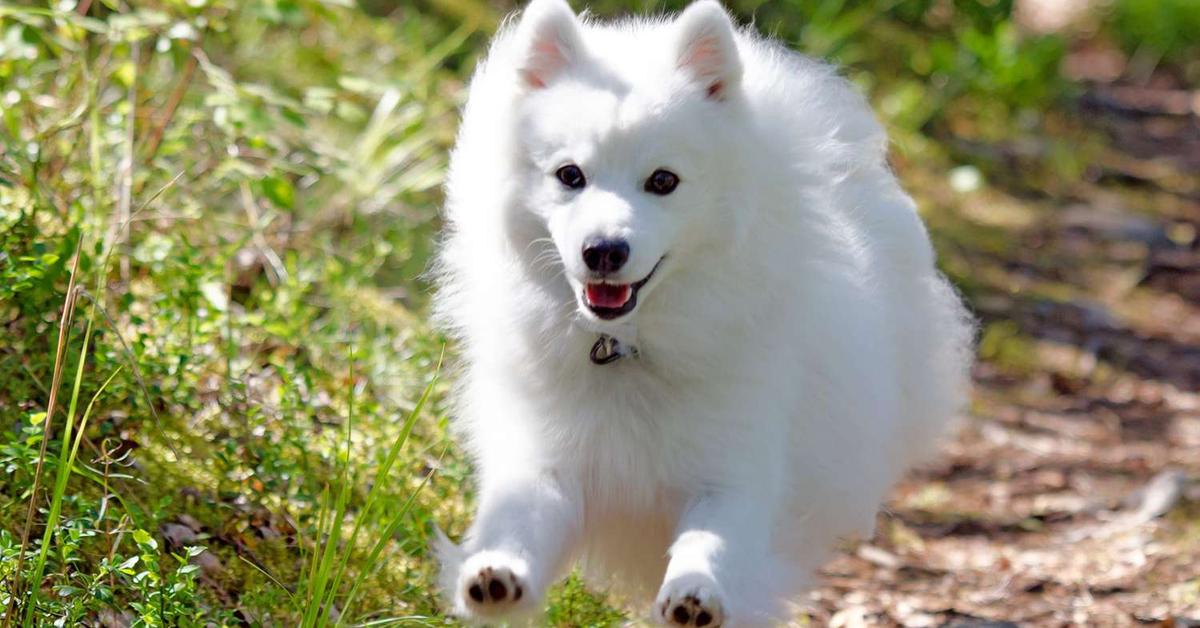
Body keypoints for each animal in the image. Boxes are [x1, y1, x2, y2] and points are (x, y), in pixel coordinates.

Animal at [432, 0, 974, 624]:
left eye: (663, 181)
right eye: (570, 175)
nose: (604, 251)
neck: (627, 348)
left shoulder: (734, 471)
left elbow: (711, 541)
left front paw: (696, 593)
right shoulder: (547, 459)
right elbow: (520, 521)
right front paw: (495, 573)